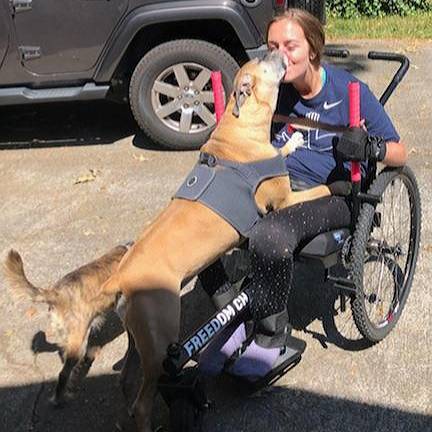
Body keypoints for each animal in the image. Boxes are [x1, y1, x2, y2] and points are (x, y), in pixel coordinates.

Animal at [100, 51, 338, 432]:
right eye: (266, 62)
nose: (276, 51)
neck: (240, 125)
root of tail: (120, 276)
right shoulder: (286, 201)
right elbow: (318, 191)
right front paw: (338, 184)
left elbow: (284, 150)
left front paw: (292, 143)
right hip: (159, 341)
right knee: (143, 400)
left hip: (138, 340)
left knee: (125, 379)